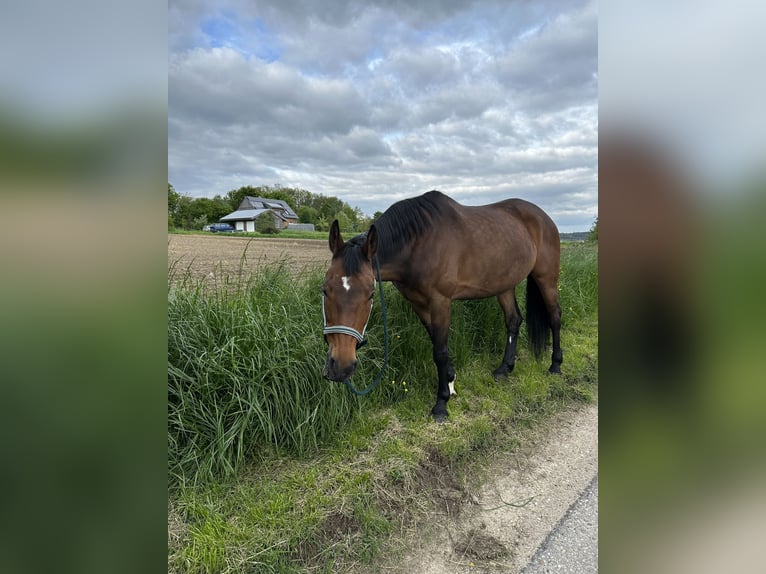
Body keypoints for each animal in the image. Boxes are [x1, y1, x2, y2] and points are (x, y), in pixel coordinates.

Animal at [321, 190, 562, 421]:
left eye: (371, 294)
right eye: (324, 290)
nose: (340, 366)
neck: (418, 243)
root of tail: (545, 218)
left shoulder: (441, 302)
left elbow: (440, 350)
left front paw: (441, 403)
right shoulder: (418, 304)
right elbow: (435, 342)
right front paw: (451, 382)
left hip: (546, 278)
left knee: (554, 317)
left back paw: (555, 365)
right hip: (504, 285)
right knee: (513, 321)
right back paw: (504, 369)